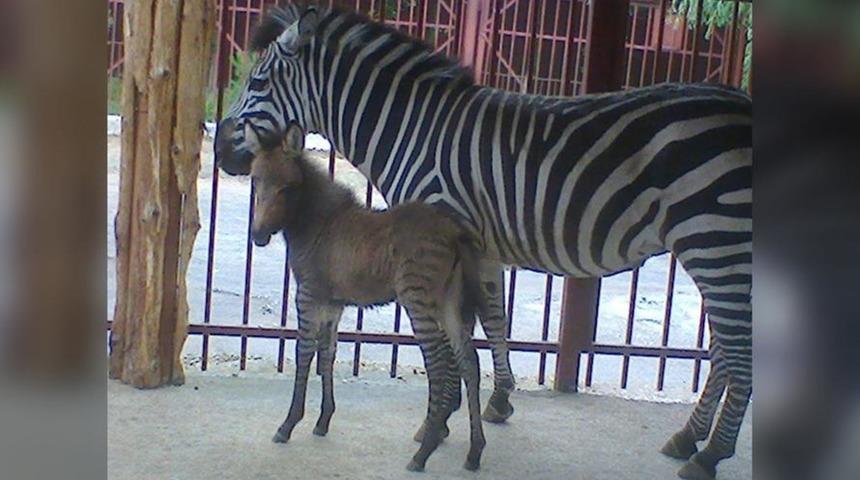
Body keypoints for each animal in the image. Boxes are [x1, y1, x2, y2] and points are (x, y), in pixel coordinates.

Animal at [247, 121, 488, 471]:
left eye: (288, 188)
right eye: (255, 181)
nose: (258, 236)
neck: (318, 224)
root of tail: (454, 231)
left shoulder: (308, 294)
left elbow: (304, 353)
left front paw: (288, 424)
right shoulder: (332, 303)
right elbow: (327, 354)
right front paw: (323, 421)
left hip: (418, 299)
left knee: (439, 363)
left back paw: (423, 451)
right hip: (449, 303)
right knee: (469, 361)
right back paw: (474, 451)